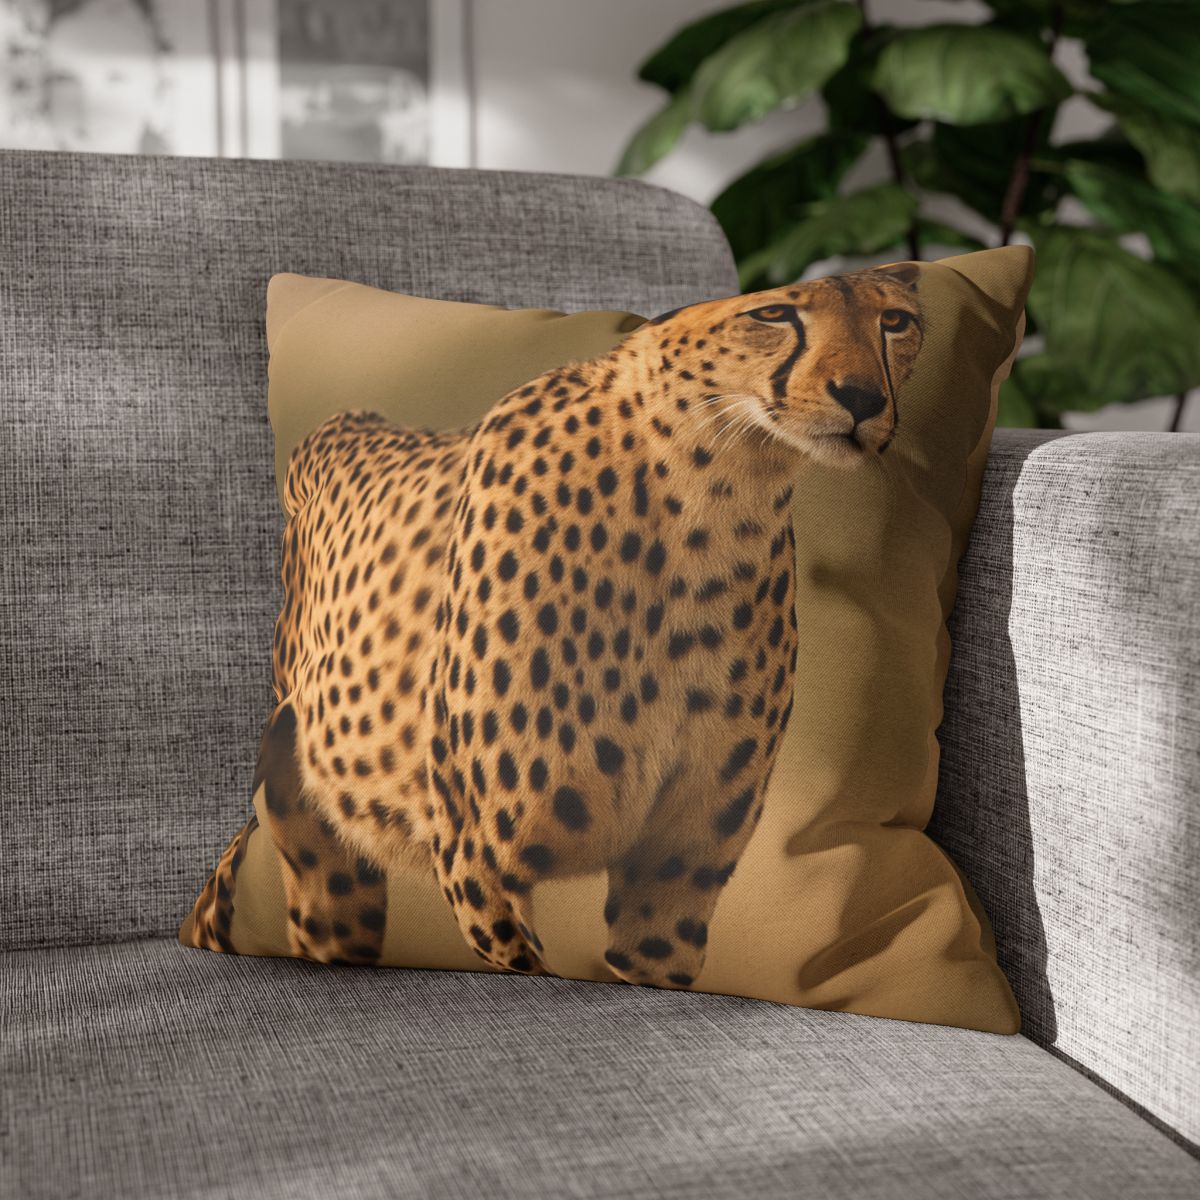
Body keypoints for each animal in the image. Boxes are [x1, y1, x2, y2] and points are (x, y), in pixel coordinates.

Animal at [185, 263, 923, 990]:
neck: (710, 504)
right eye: (771, 313)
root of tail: (342, 421)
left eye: (896, 320)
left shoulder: (674, 872)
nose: (862, 398)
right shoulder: (476, 856)